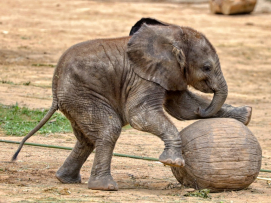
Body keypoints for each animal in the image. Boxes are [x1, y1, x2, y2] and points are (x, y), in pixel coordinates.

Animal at [11, 18, 252, 191]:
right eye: (207, 67)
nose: (207, 109)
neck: (171, 35)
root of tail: (54, 88)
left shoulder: (167, 73)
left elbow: (183, 108)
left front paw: (246, 114)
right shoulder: (142, 77)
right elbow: (140, 115)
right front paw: (173, 162)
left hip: (75, 100)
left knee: (87, 139)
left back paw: (66, 180)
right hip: (81, 95)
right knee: (109, 129)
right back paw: (105, 187)